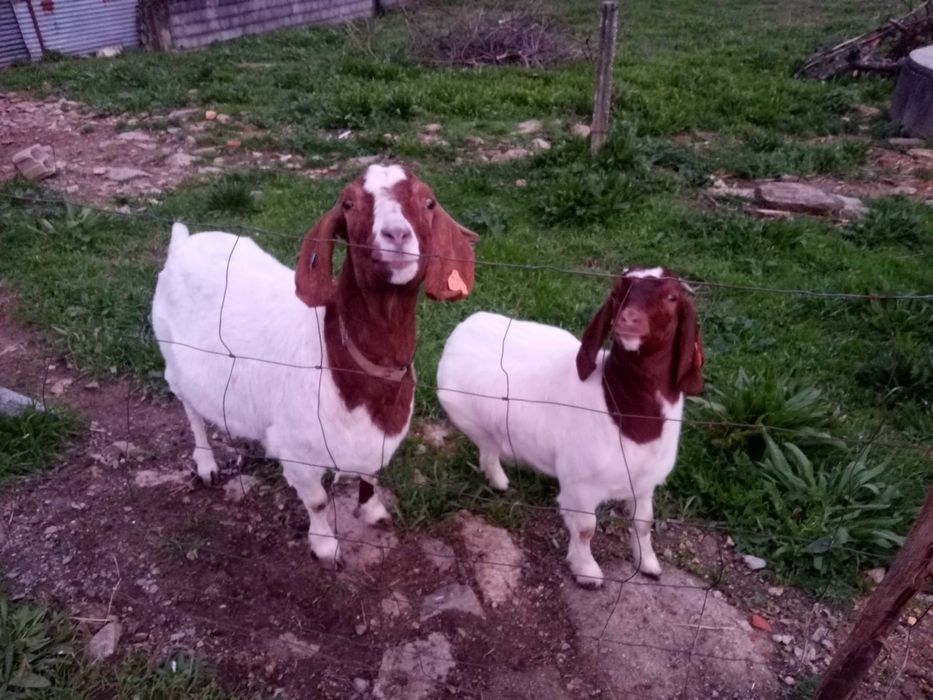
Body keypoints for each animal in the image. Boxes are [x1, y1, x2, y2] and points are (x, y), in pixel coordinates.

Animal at [151, 164, 479, 566]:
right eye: (348, 204)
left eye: (429, 202)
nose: (397, 234)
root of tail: (182, 243)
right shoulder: (299, 452)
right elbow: (319, 501)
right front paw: (325, 547)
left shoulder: (376, 439)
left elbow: (370, 475)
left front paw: (373, 511)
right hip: (171, 353)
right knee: (191, 409)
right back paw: (206, 464)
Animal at [436, 267, 704, 587]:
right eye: (616, 292)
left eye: (672, 297)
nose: (628, 319)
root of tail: (464, 327)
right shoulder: (580, 486)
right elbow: (586, 529)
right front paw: (587, 572)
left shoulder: (644, 483)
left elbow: (643, 523)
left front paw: (648, 564)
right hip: (470, 417)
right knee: (487, 446)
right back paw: (499, 480)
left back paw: (499, 481)